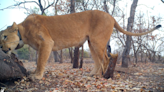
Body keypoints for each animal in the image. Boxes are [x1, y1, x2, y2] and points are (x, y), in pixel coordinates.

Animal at [0, 9, 161, 79]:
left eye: (4, 36)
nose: (1, 47)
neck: (22, 32)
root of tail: (111, 16)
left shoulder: (46, 42)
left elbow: (40, 61)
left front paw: (37, 76)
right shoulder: (41, 47)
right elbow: (38, 60)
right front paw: (34, 73)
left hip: (97, 41)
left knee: (106, 58)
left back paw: (103, 76)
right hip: (91, 42)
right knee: (98, 60)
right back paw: (92, 74)